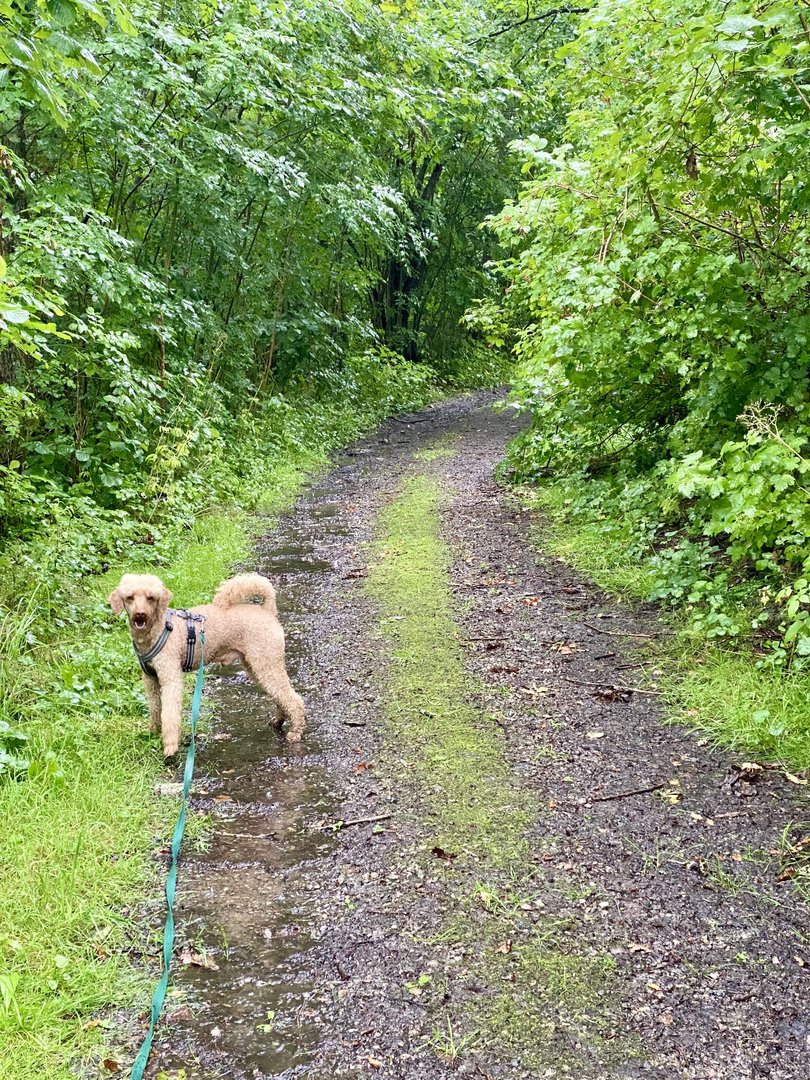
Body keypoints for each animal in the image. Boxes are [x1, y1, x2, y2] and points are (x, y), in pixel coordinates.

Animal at [108, 572, 305, 758]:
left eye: (151, 598)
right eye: (130, 597)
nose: (140, 614)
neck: (158, 629)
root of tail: (267, 610)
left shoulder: (171, 678)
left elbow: (170, 714)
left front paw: (170, 746)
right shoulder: (151, 680)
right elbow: (156, 708)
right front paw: (153, 731)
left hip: (266, 663)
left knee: (294, 699)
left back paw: (295, 731)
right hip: (257, 666)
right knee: (281, 696)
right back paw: (278, 721)